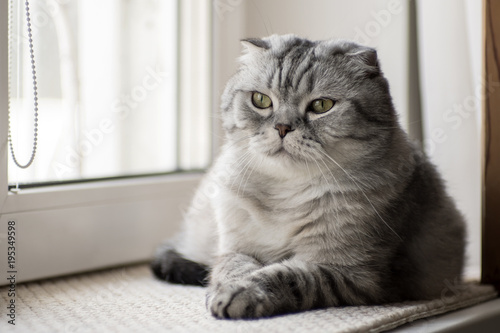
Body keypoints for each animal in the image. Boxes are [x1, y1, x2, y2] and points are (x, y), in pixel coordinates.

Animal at [151, 35, 464, 318]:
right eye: (260, 100)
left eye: (321, 106)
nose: (282, 127)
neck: (284, 194)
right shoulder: (235, 248)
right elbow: (234, 268)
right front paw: (225, 290)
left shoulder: (352, 272)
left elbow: (283, 275)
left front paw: (241, 294)